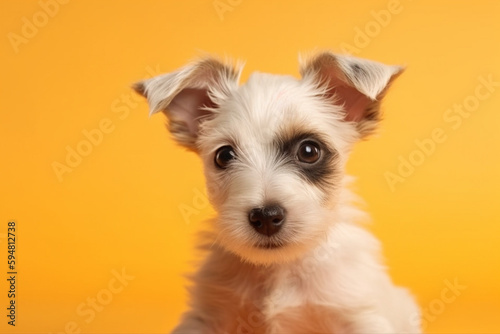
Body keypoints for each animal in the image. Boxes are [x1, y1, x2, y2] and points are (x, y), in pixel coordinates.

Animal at [134, 51, 422, 332]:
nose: (265, 217)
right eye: (224, 156)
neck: (280, 267)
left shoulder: (358, 314)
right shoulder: (206, 317)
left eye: (309, 151)